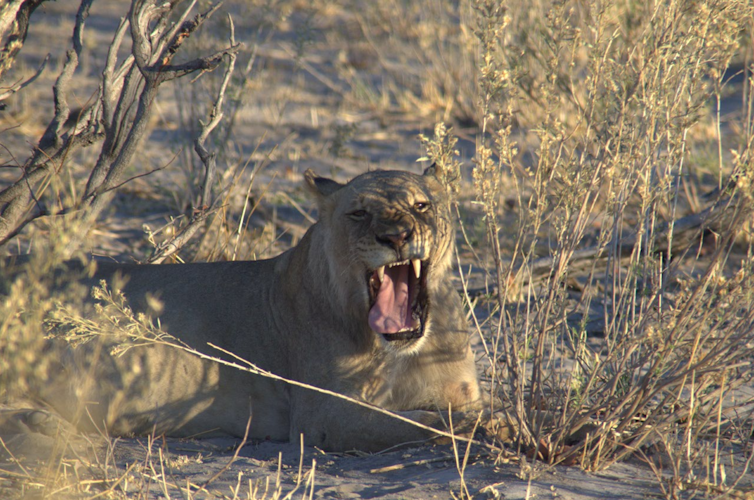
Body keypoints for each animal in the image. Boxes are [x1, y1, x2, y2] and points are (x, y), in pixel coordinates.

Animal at [3, 165, 495, 452]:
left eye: (421, 205)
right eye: (358, 213)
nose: (394, 236)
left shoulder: (461, 389)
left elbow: (464, 409)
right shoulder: (324, 418)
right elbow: (428, 423)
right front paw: (491, 429)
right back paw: (52, 426)